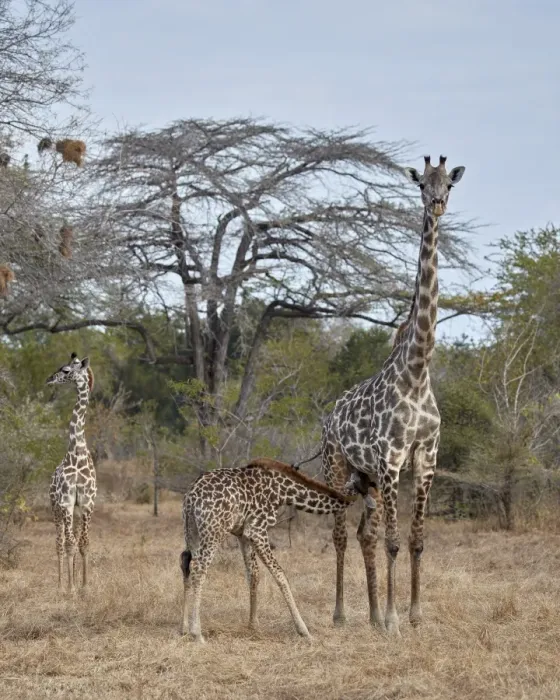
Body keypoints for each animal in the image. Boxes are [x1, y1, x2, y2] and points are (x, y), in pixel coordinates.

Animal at [179, 458, 363, 643]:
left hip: (191, 529)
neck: (284, 492)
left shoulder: (242, 534)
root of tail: (192, 497)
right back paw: (197, 634)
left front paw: (253, 625)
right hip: (214, 530)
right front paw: (304, 631)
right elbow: (280, 574)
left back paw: (184, 628)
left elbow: (253, 574)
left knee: (186, 562)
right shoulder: (257, 530)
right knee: (199, 568)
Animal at [322, 155, 466, 635]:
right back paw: (342, 614)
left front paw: (414, 614)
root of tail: (329, 414)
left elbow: (417, 539)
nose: (436, 204)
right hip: (337, 466)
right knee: (340, 534)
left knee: (363, 533)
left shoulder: (426, 458)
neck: (418, 372)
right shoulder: (390, 459)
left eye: (449, 185)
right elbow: (394, 541)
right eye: (421, 183)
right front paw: (393, 619)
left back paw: (368, 614)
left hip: (363, 477)